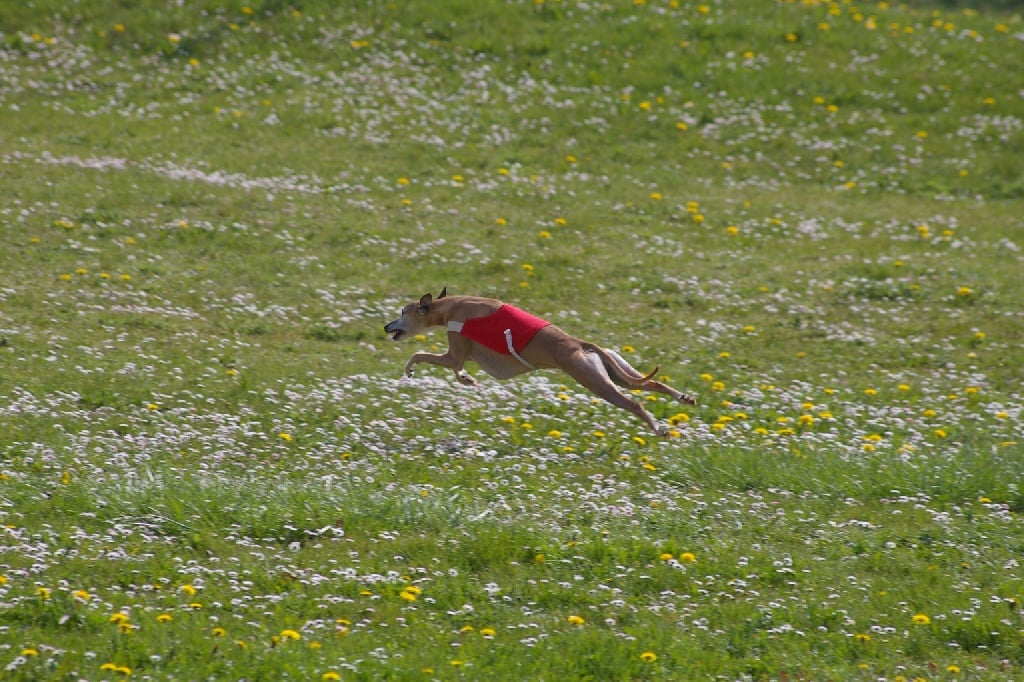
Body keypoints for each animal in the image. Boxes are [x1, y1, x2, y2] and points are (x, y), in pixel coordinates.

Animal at [385, 286, 696, 430]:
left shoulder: (455, 351)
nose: (387, 326)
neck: (450, 305)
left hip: (595, 380)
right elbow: (457, 370)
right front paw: (467, 380)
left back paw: (659, 430)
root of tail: (582, 344)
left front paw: (410, 370)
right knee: (652, 384)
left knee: (634, 403)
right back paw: (685, 398)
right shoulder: (461, 355)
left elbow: (420, 354)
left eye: (402, 312)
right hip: (616, 372)